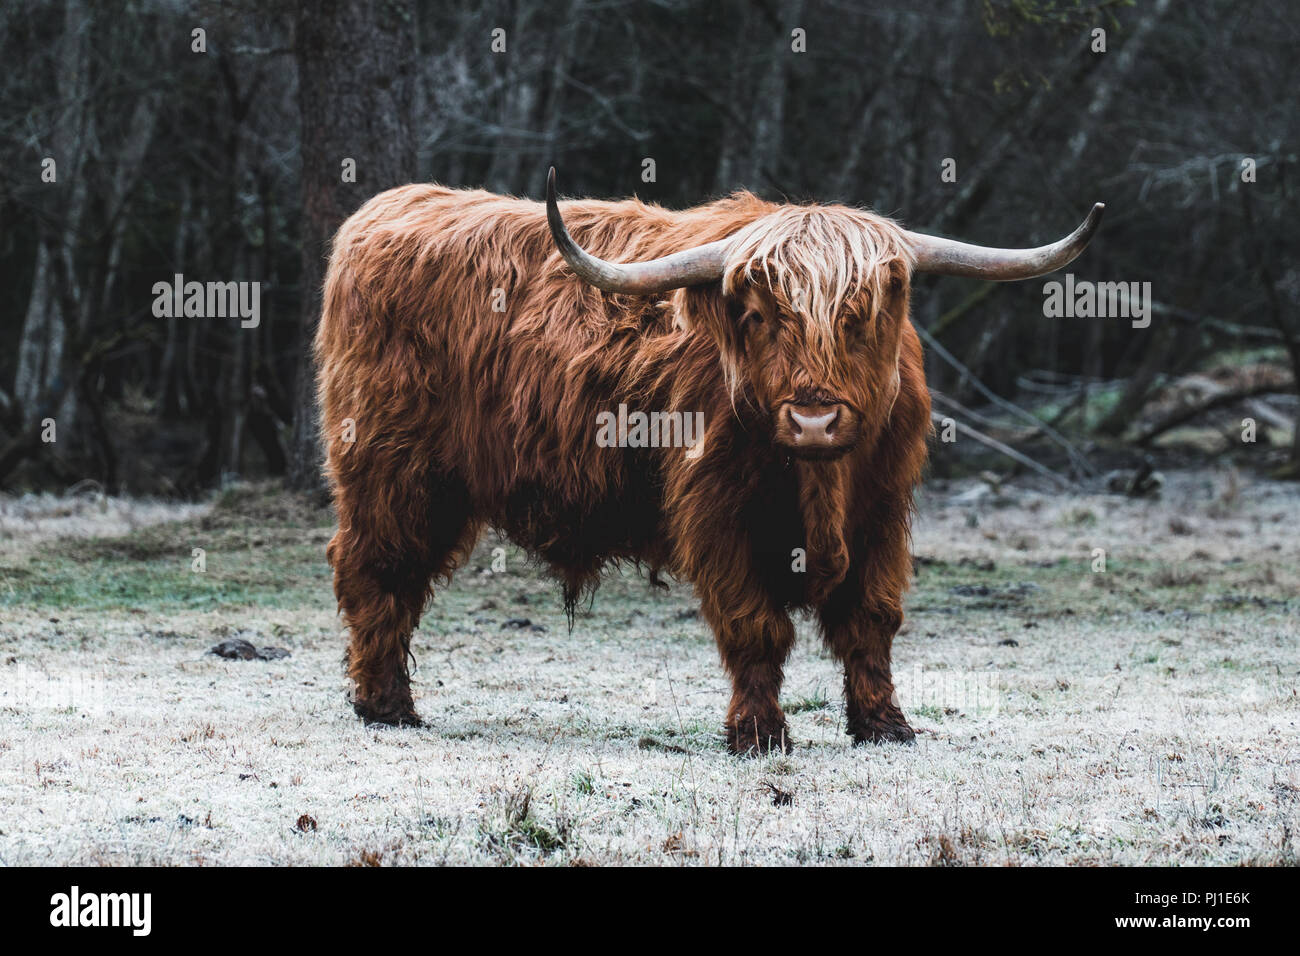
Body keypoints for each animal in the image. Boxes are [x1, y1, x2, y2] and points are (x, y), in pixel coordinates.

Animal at [315, 169, 1102, 754]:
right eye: (758, 315)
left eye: (862, 316)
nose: (813, 417)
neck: (818, 486)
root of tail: (387, 209)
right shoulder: (718, 515)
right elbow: (756, 627)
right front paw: (757, 734)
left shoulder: (883, 514)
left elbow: (870, 621)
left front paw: (884, 726)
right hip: (391, 470)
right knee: (377, 573)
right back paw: (386, 707)